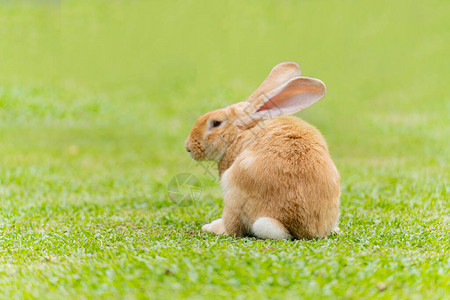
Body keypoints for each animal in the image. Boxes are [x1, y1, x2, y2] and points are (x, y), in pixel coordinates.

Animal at [185, 62, 340, 240]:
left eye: (216, 123)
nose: (188, 147)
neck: (239, 133)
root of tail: (299, 227)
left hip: (233, 192)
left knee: (233, 228)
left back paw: (211, 227)